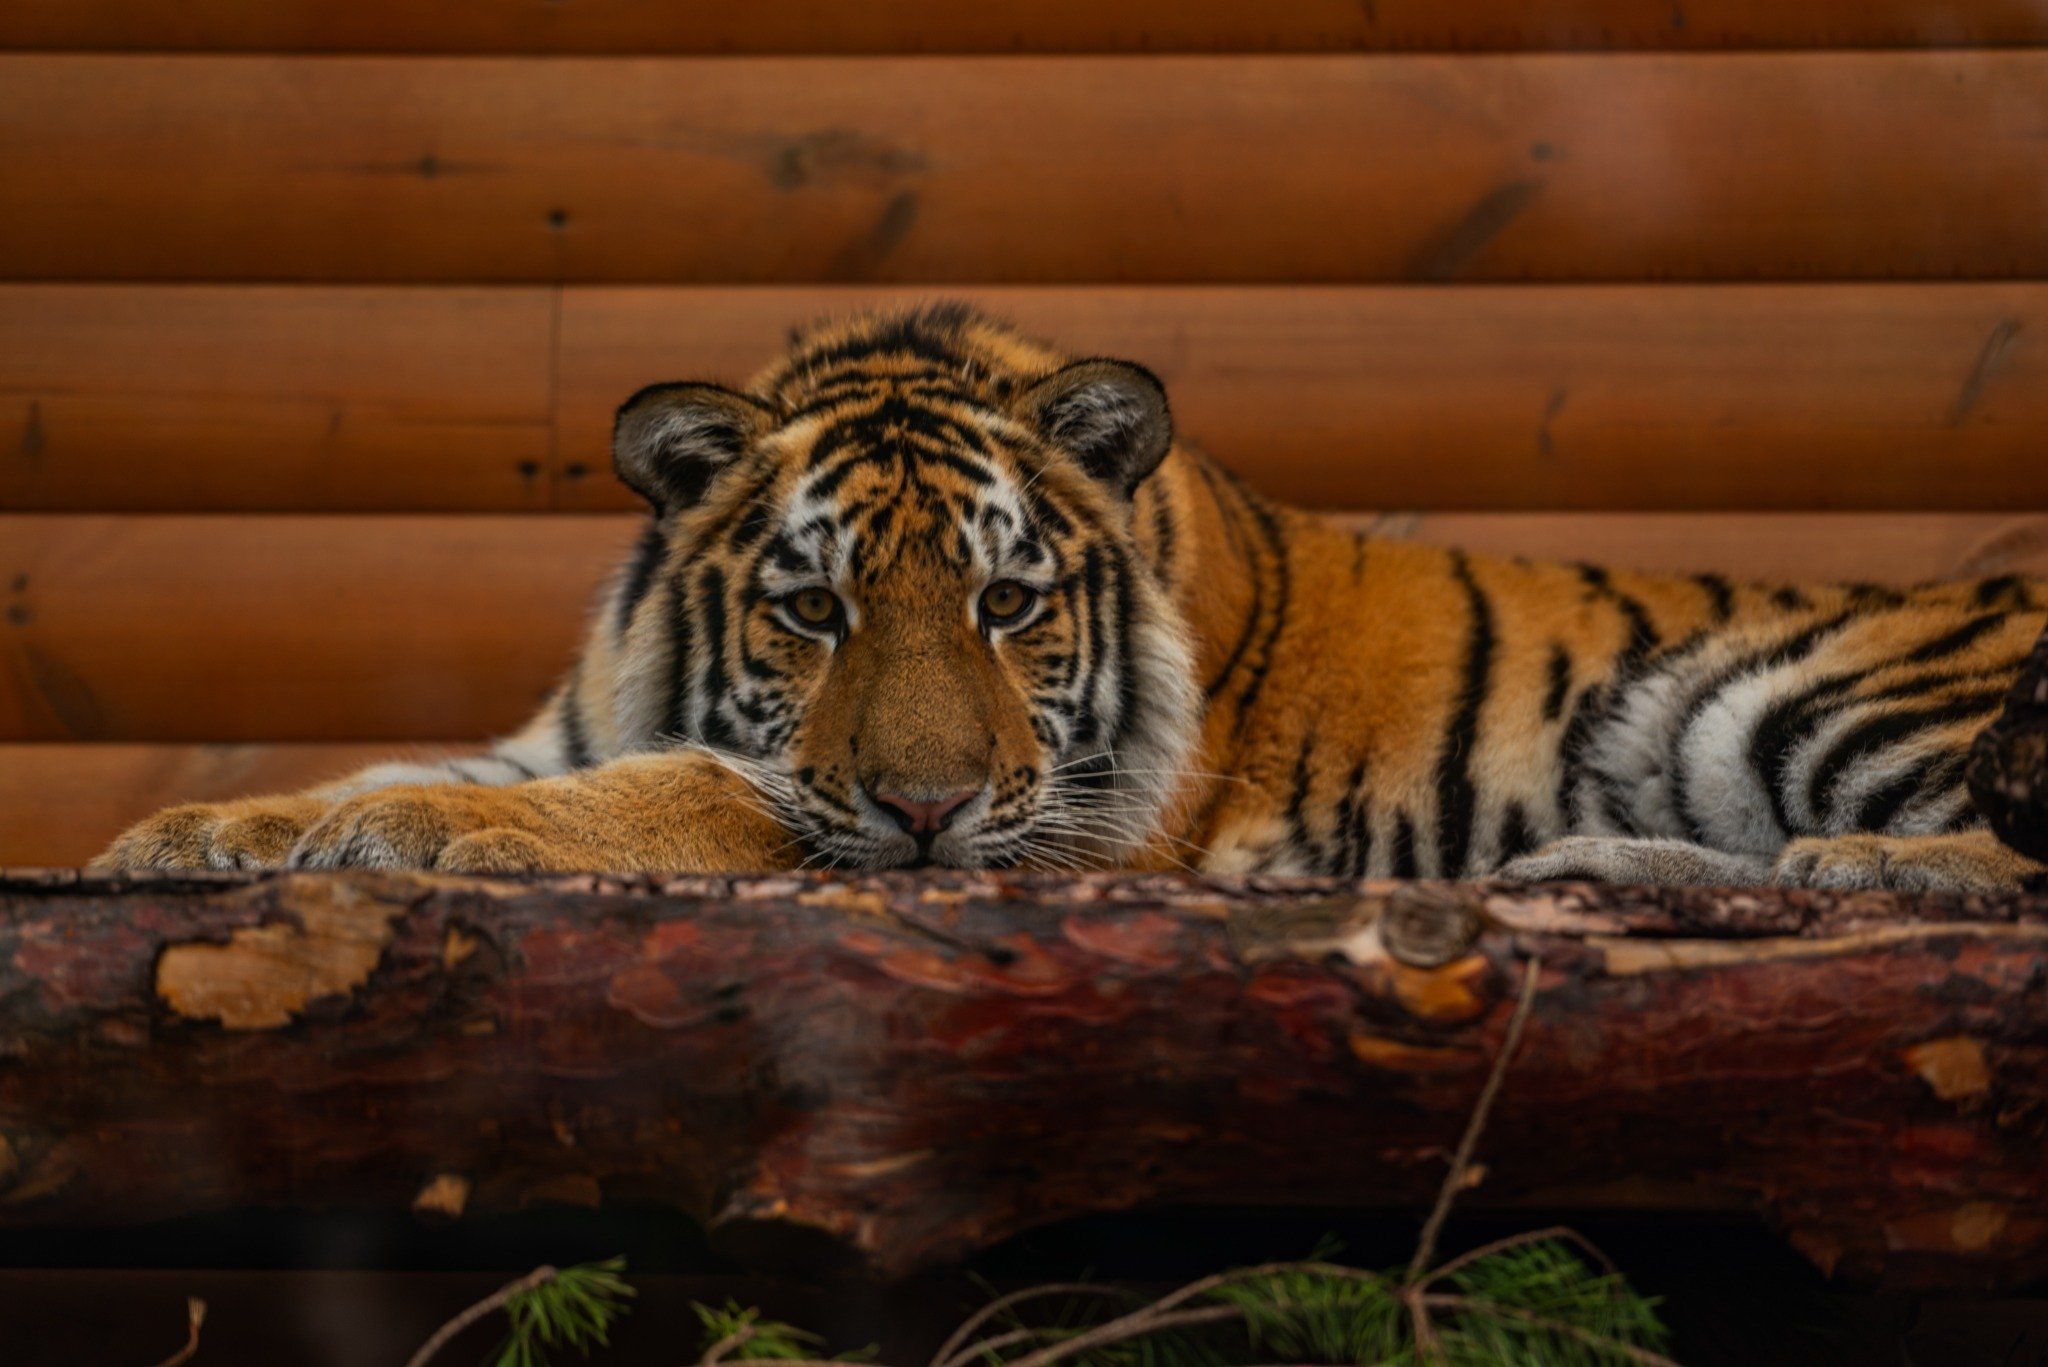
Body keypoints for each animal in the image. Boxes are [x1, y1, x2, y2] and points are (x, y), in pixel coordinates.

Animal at [96, 303, 2047, 893]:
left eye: (1008, 604)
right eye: (812, 612)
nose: (927, 807)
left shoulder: (1047, 816)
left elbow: (682, 791)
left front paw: (403, 836)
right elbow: (400, 771)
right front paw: (197, 831)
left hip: (1787, 687)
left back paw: (1863, 866)